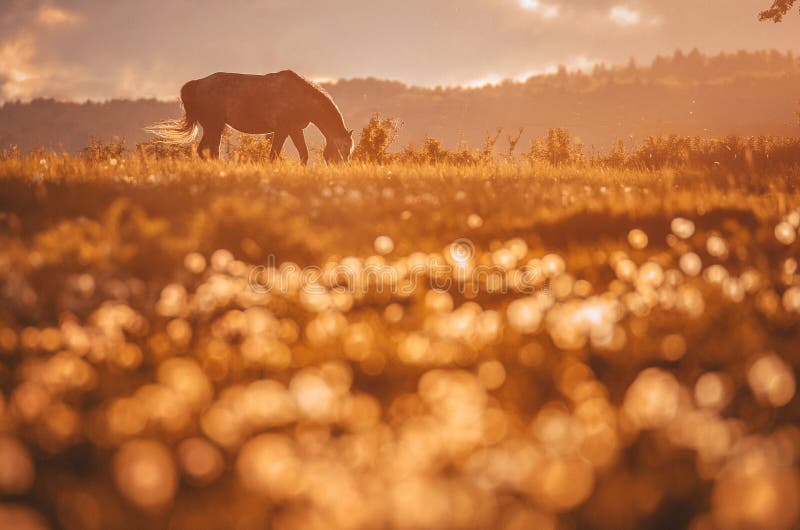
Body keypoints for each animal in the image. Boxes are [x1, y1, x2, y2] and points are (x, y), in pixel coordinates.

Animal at [147, 69, 354, 163]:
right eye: (343, 150)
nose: (340, 168)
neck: (301, 97)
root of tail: (197, 84)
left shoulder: (294, 130)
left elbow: (302, 154)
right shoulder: (284, 129)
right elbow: (275, 154)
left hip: (214, 126)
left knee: (206, 151)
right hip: (214, 125)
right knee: (209, 151)